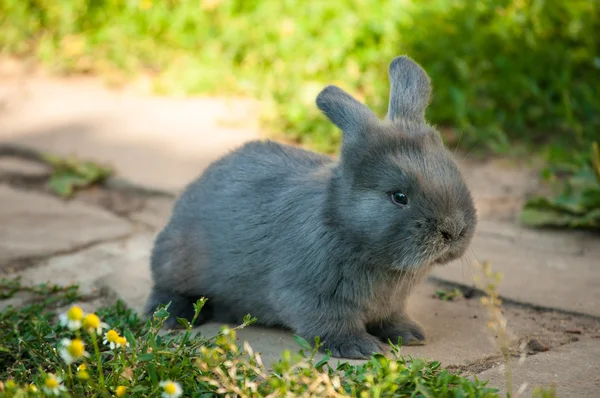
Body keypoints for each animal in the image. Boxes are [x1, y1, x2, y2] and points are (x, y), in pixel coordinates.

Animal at [143, 55, 476, 358]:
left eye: (454, 171)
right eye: (398, 197)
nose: (453, 230)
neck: (344, 226)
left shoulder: (390, 305)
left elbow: (390, 318)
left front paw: (410, 334)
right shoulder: (310, 295)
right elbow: (330, 324)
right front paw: (361, 348)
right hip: (176, 261)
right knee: (166, 289)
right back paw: (173, 317)